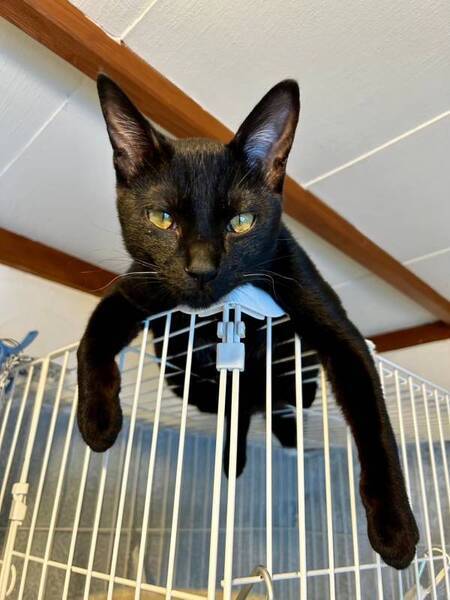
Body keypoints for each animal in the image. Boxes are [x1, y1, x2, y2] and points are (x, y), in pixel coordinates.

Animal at [77, 74, 419, 570]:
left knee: (282, 400)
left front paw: (395, 528)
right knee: (230, 400)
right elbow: (92, 337)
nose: (201, 268)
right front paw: (98, 422)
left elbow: (376, 425)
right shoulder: (137, 290)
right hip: (174, 359)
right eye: (161, 218)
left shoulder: (337, 330)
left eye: (241, 222)